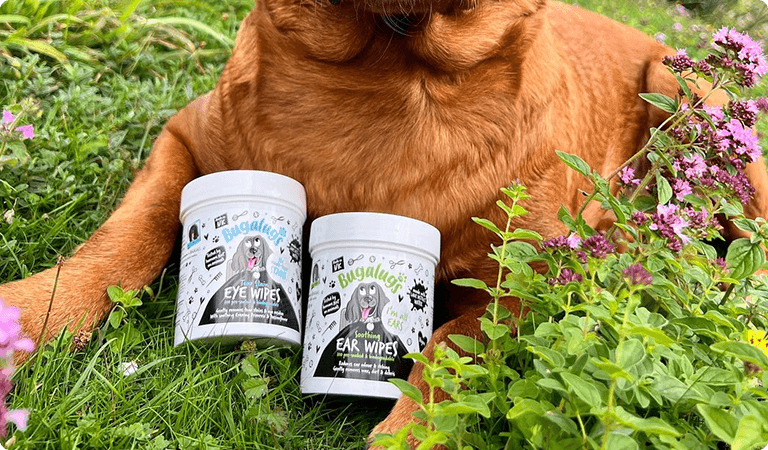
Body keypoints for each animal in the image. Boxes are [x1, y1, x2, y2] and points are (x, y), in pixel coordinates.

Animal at [2, 0, 768, 445]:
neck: (389, 69)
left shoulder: (526, 277)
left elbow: (452, 347)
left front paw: (408, 429)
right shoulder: (186, 141)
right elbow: (126, 234)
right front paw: (32, 312)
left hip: (691, 92)